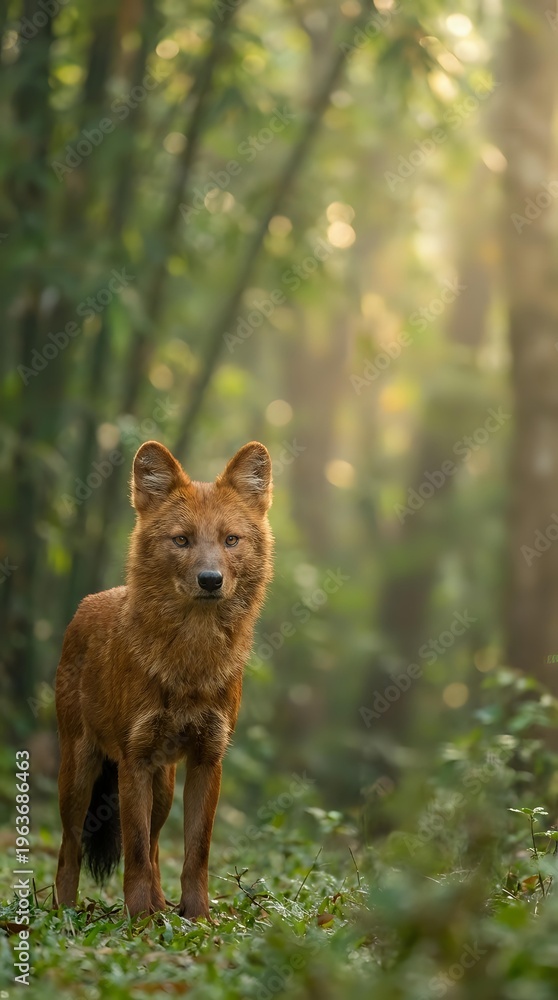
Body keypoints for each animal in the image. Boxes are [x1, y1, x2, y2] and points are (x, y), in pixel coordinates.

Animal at [55, 439, 273, 919]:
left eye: (231, 540)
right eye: (182, 540)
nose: (210, 579)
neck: (191, 659)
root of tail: (86, 604)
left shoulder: (208, 759)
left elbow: (195, 850)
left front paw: (198, 917)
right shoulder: (133, 759)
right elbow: (133, 849)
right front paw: (139, 918)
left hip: (165, 784)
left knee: (156, 844)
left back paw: (161, 904)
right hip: (79, 772)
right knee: (70, 847)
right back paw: (64, 912)